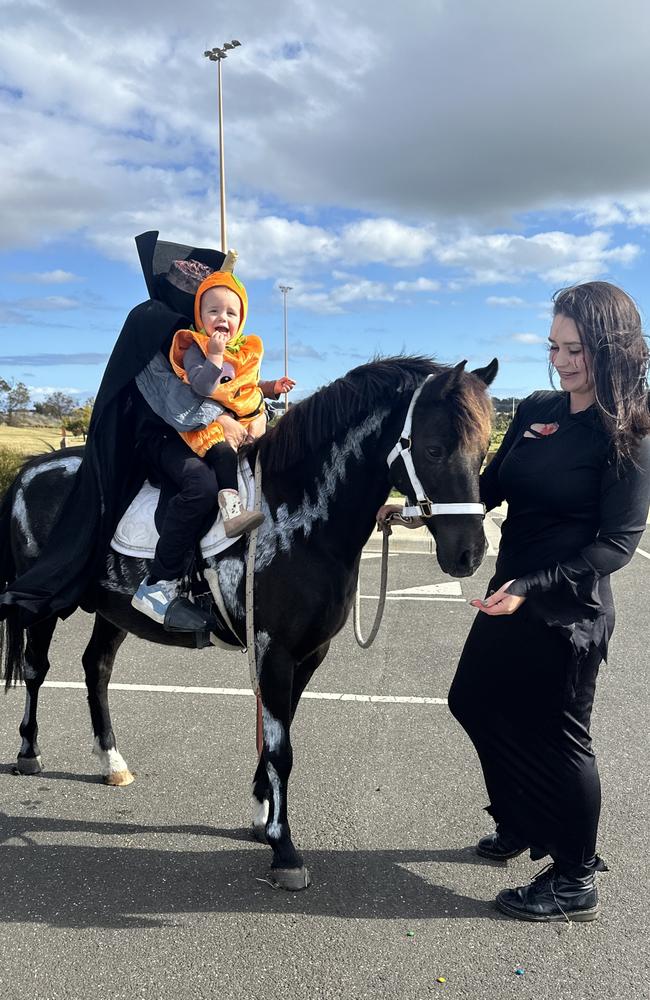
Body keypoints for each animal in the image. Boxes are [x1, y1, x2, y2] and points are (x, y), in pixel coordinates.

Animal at [1, 356, 496, 888]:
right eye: (434, 448)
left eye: (483, 450)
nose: (469, 553)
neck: (297, 516)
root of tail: (30, 470)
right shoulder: (274, 649)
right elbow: (282, 750)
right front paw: (285, 851)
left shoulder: (307, 654)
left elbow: (279, 737)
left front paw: (262, 814)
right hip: (47, 605)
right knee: (35, 669)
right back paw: (28, 752)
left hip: (113, 611)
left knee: (96, 669)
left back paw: (112, 761)